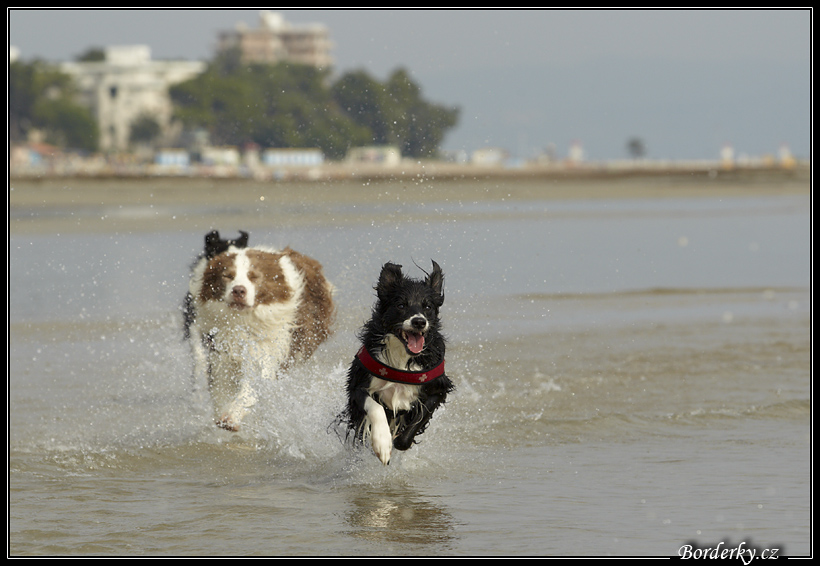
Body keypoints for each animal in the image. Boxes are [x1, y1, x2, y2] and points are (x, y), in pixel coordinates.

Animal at [340, 262, 454, 466]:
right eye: (401, 305)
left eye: (427, 306)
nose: (419, 321)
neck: (403, 356)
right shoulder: (358, 385)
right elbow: (375, 407)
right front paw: (382, 444)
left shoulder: (438, 388)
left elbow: (416, 422)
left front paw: (398, 441)